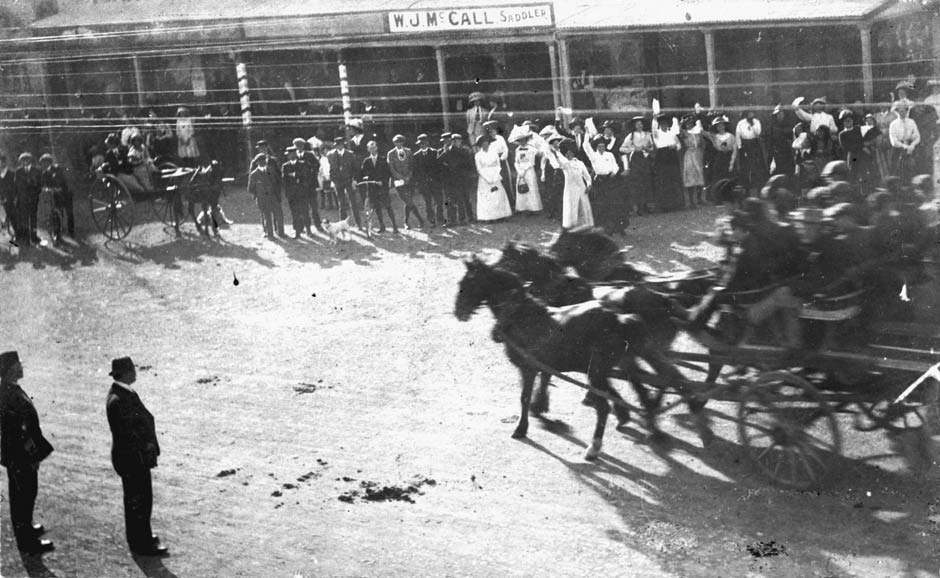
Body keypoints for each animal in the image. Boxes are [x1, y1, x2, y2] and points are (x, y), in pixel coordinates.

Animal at [454, 256, 648, 460]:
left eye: (468, 283)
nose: (458, 311)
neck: (521, 316)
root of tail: (620, 317)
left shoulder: (528, 368)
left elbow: (524, 397)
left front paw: (521, 428)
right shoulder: (543, 366)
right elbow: (541, 385)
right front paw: (538, 408)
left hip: (595, 372)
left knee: (603, 407)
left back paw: (594, 447)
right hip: (600, 370)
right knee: (613, 393)